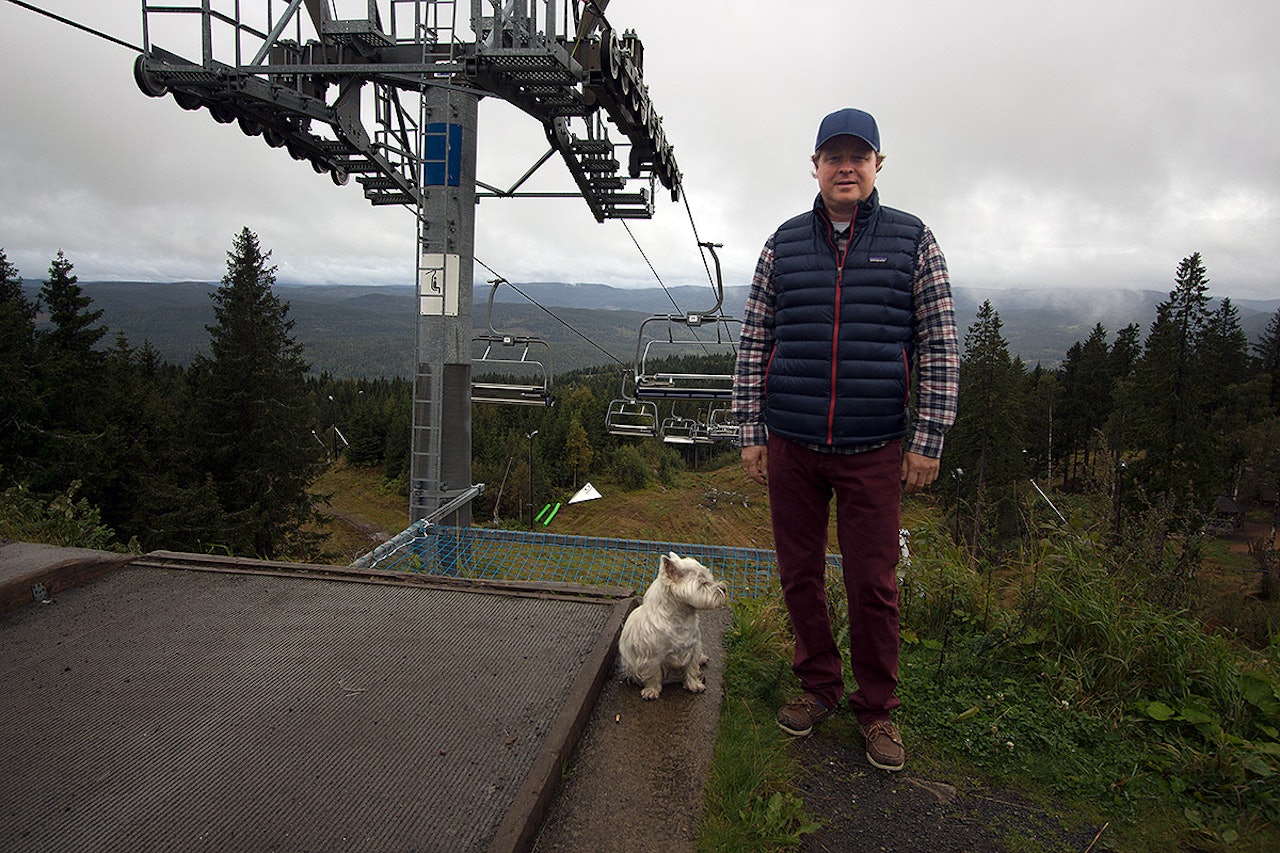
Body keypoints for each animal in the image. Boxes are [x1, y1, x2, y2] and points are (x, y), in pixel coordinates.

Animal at [619, 550, 732, 696]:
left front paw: (694, 685)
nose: (724, 588)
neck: (680, 618)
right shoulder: (652, 657)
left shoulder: (693, 647)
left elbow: (692, 669)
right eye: (703, 583)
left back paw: (702, 658)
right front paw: (651, 690)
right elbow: (653, 675)